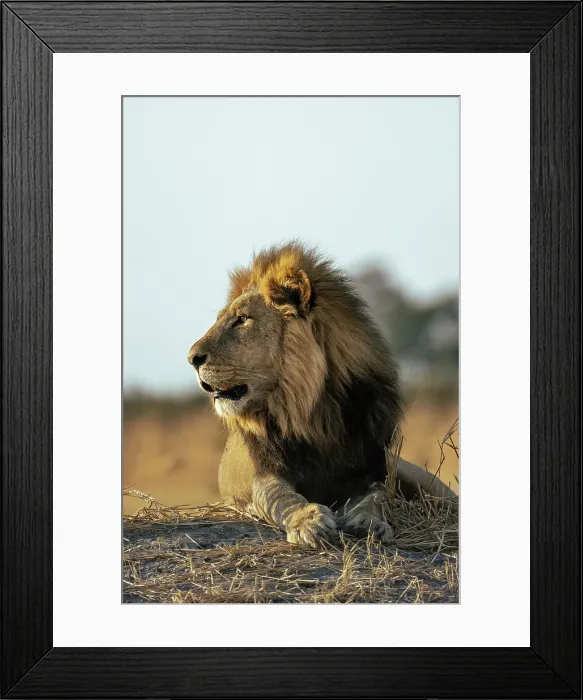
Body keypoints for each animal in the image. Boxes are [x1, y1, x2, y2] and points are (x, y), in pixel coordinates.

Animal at [188, 242, 456, 548]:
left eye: (242, 319)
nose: (191, 358)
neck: (314, 410)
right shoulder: (266, 473)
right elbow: (283, 498)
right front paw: (309, 521)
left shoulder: (368, 471)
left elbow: (376, 499)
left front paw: (370, 523)